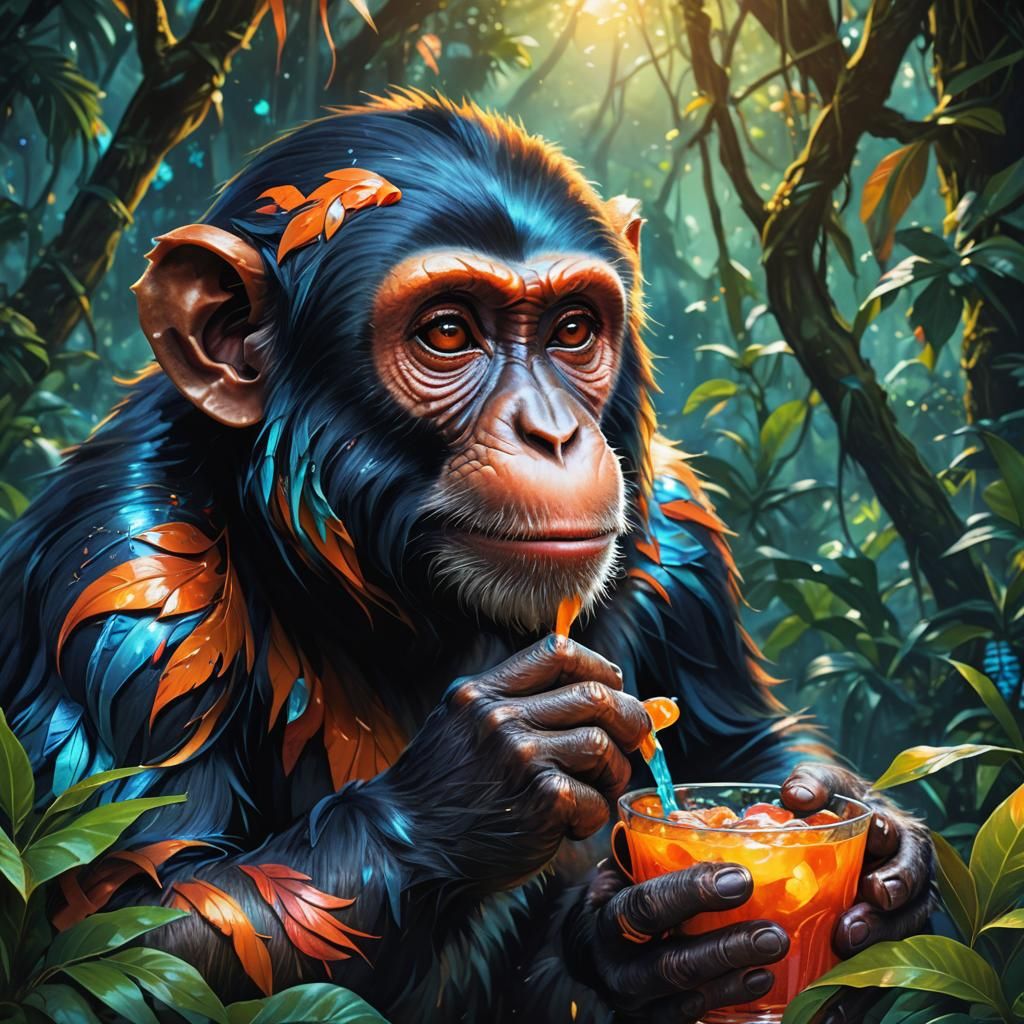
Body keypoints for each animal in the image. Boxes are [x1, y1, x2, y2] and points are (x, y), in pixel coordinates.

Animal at [0, 92, 933, 1023]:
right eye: (448, 332)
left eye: (573, 329)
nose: (553, 432)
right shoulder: (130, 581)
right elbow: (126, 925)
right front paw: (489, 778)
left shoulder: (679, 530)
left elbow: (748, 750)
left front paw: (875, 842)